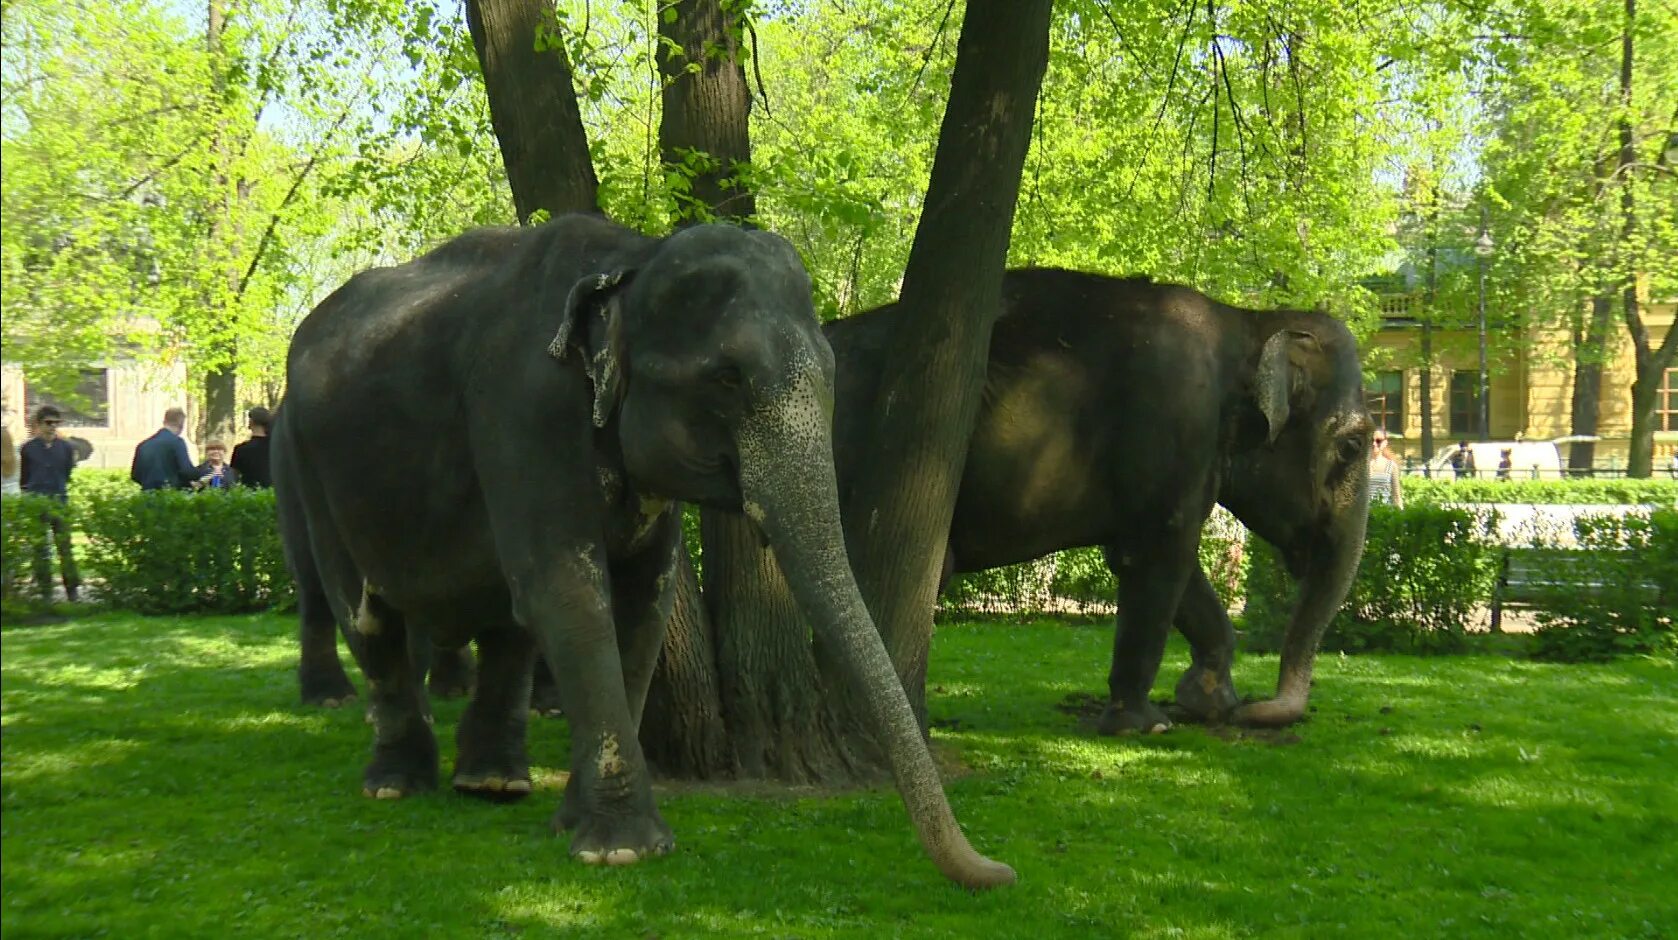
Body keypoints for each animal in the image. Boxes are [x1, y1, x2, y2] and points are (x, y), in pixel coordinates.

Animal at [273, 214, 1006, 886]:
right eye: (727, 378)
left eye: (829, 372)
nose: (999, 871)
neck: (631, 262)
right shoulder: (522, 410)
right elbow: (570, 595)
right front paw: (622, 851)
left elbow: (644, 603)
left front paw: (577, 827)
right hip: (309, 465)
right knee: (366, 615)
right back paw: (395, 785)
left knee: (507, 623)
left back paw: (493, 784)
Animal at [828, 268, 1375, 731]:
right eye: (1353, 445)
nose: (1258, 710)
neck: (1247, 322)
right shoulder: (1175, 423)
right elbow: (1158, 559)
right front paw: (1147, 724)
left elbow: (1167, 566)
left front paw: (1209, 702)